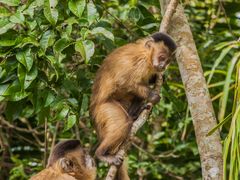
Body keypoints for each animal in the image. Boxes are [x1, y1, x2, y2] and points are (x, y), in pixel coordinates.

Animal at [90, 32, 176, 179]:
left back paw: (135, 113)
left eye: (168, 61)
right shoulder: (141, 62)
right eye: (162, 57)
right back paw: (101, 154)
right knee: (123, 122)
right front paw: (153, 95)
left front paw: (158, 78)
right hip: (103, 109)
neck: (147, 55)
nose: (163, 66)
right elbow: (123, 81)